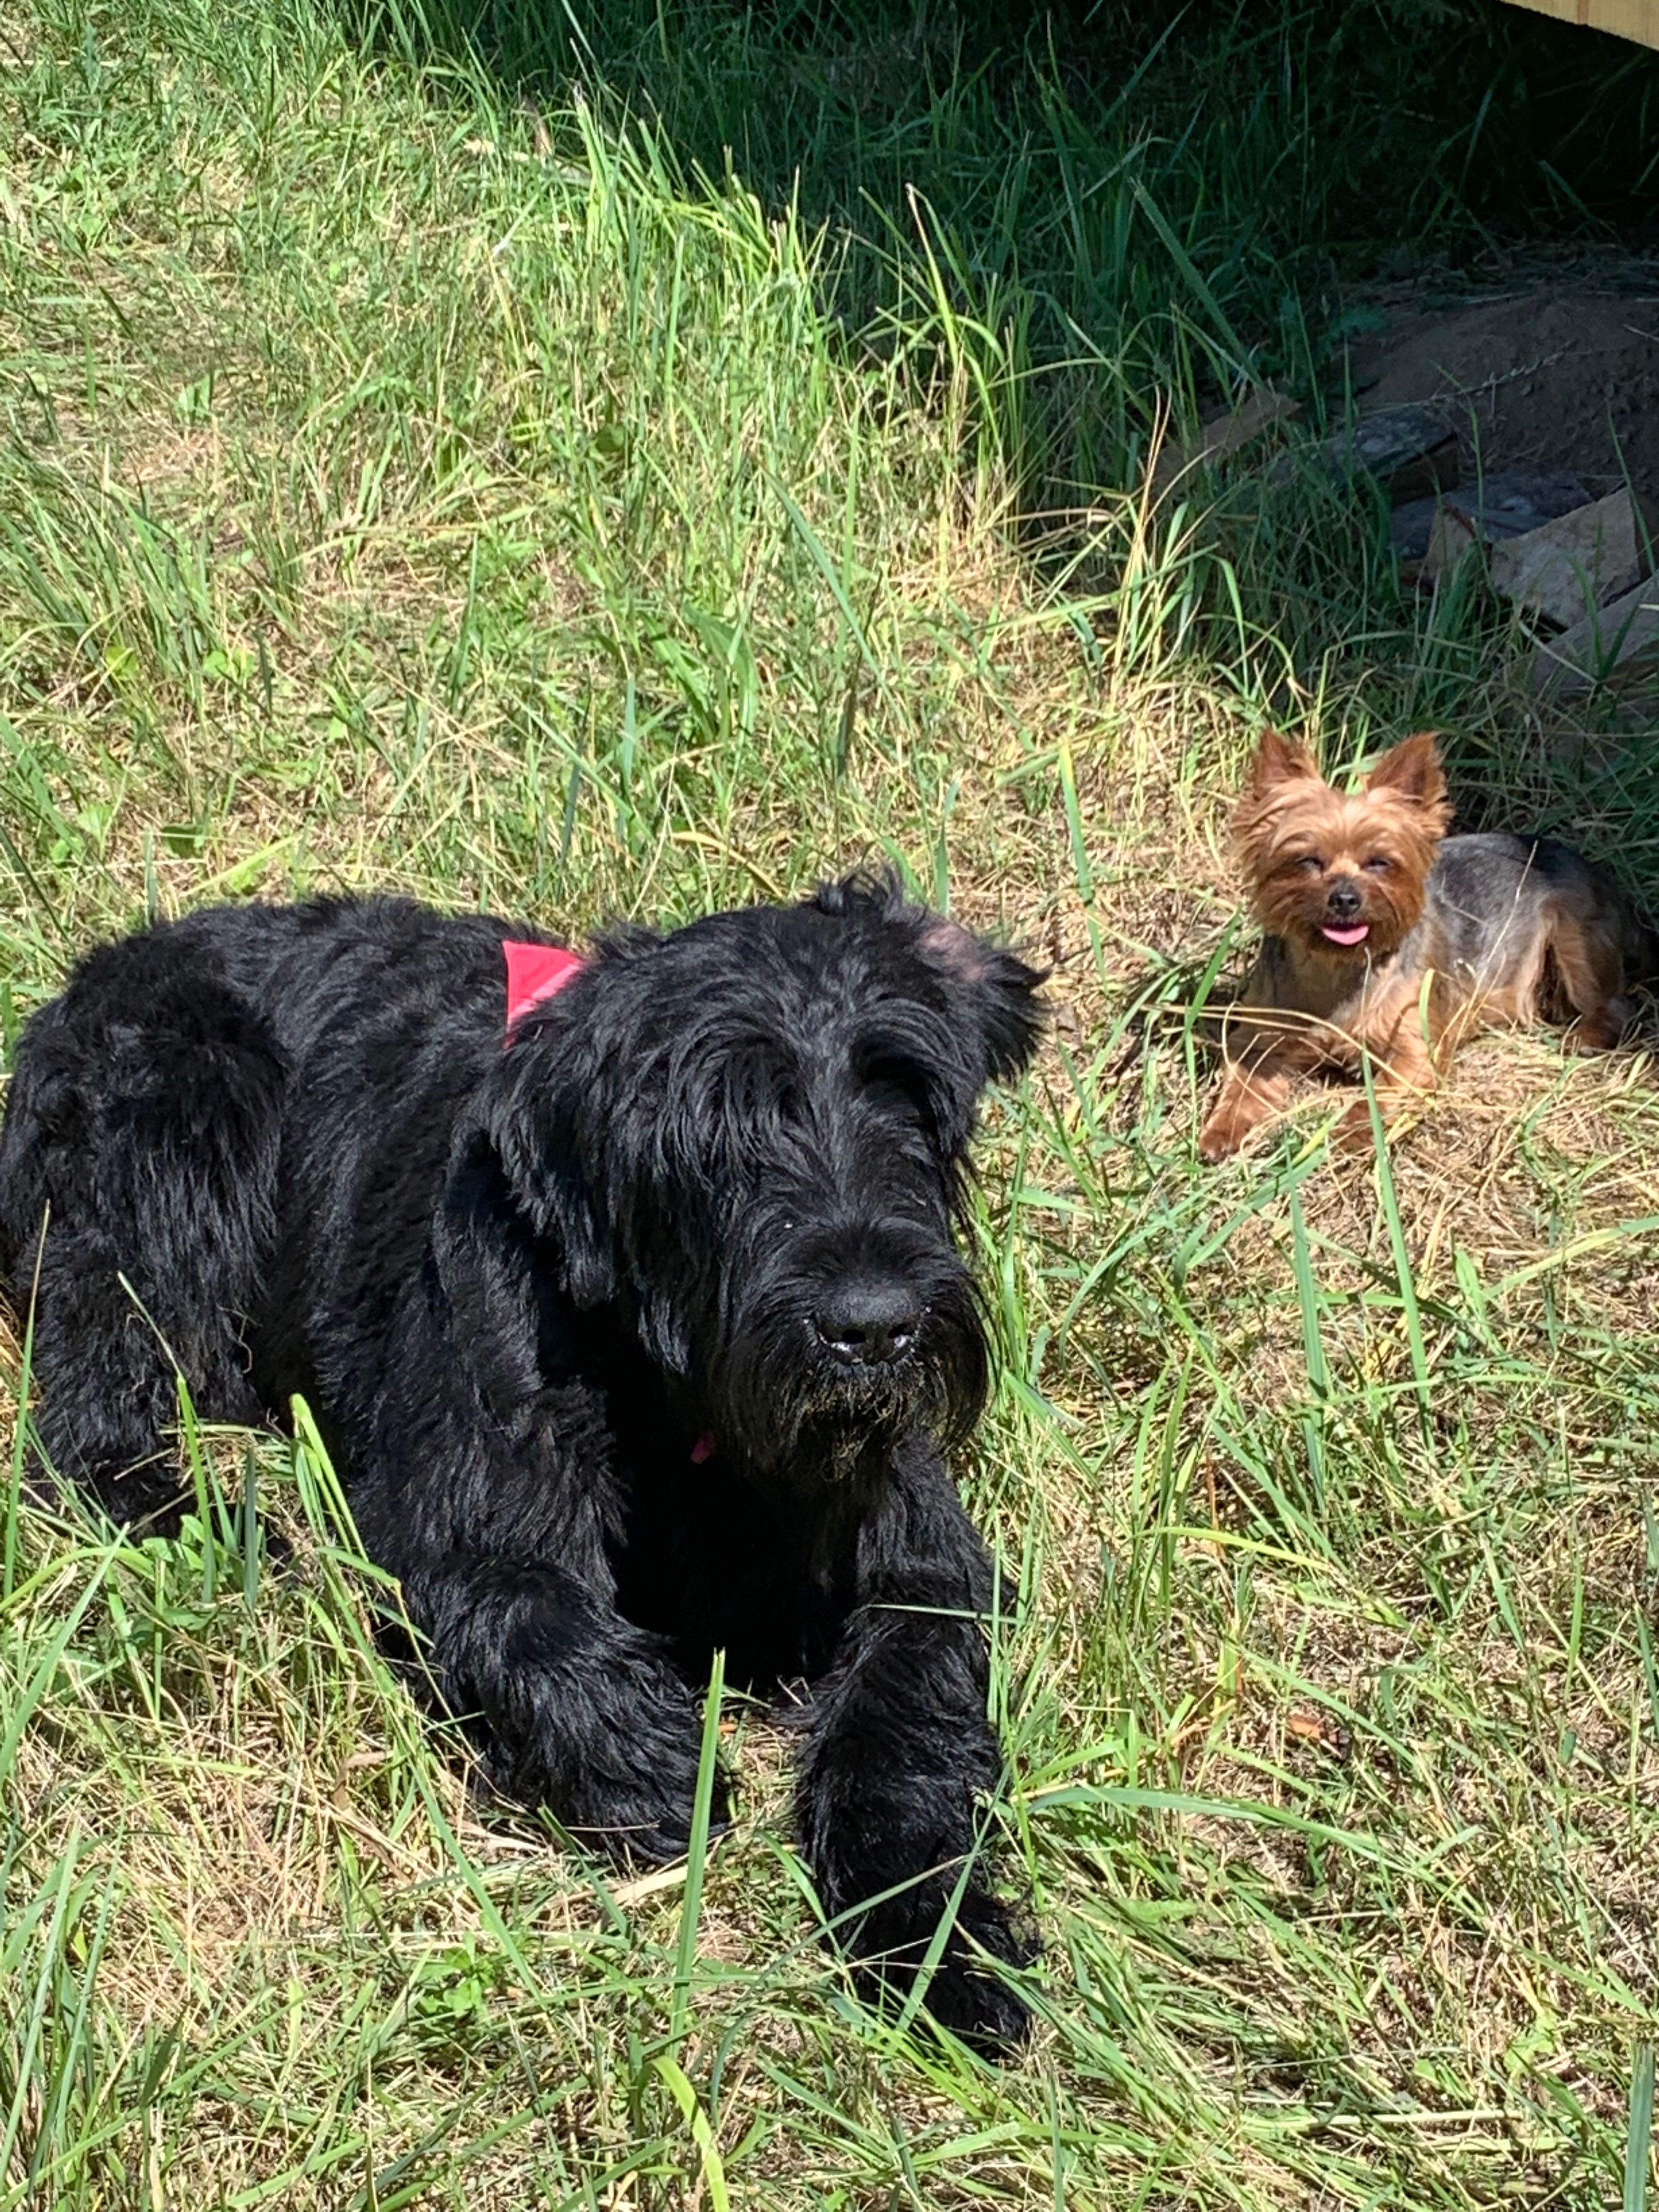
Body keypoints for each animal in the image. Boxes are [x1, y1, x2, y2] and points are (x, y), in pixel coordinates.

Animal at [0, 871, 1040, 2044]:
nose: (874, 1327)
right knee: (95, 1404)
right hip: (178, 1136)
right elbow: (531, 1631)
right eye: (714, 1122)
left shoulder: (917, 1556)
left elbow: (903, 1722)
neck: (676, 1407)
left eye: (903, 1095)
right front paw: (661, 1765)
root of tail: (82, 987)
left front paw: (935, 1948)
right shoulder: (461, 1520)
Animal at [1203, 734, 1654, 1167]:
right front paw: (1221, 1131)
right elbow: (1241, 1083)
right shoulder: (1257, 1037)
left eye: (1380, 862)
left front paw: (1353, 1131)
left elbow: (1382, 1095)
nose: (1345, 898)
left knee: (1615, 1004)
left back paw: (1585, 1037)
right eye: (1308, 861)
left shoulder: (1414, 1053)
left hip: (1574, 936)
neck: (1339, 968)